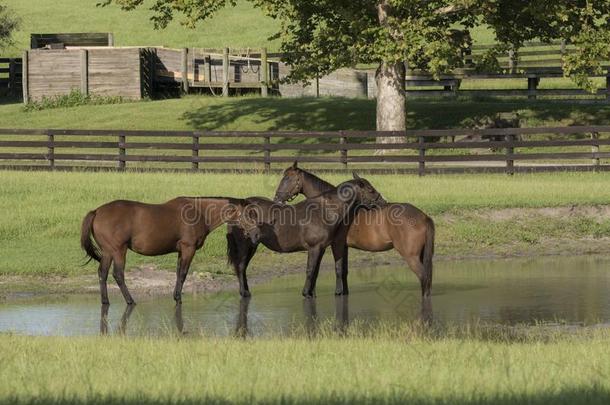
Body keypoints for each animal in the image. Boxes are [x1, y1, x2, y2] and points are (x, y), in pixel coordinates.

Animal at [80, 196, 254, 304]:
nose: (253, 233)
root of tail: (97, 211)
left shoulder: (181, 251)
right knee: (118, 275)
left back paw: (105, 301)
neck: (199, 213)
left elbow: (178, 273)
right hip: (118, 250)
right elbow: (183, 274)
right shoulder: (188, 248)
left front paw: (175, 295)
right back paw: (130, 301)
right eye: (248, 214)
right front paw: (178, 298)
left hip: (108, 252)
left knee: (102, 273)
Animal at [226, 176, 382, 296]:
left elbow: (316, 271)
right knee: (240, 266)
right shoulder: (314, 248)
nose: (383, 202)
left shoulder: (322, 248)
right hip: (244, 245)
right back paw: (244, 293)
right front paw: (306, 293)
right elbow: (310, 270)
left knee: (243, 267)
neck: (325, 211)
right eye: (370, 189)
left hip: (252, 245)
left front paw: (311, 293)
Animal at [274, 163, 434, 298]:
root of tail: (424, 216)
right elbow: (343, 271)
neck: (331, 206)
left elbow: (338, 269)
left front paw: (337, 293)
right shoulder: (342, 246)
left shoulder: (336, 245)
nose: (277, 198)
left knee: (424, 277)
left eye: (287, 178)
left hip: (411, 256)